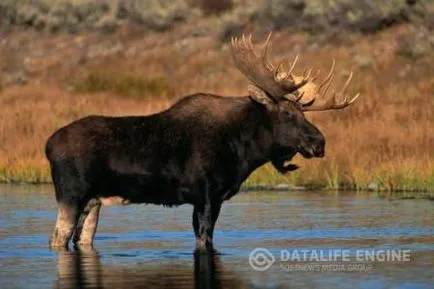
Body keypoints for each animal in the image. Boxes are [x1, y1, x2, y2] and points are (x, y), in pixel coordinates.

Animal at [45, 33, 362, 250]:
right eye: (287, 113)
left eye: (302, 112)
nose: (319, 143)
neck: (243, 152)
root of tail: (48, 145)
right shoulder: (207, 196)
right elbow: (204, 240)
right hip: (72, 194)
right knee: (58, 238)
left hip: (94, 202)